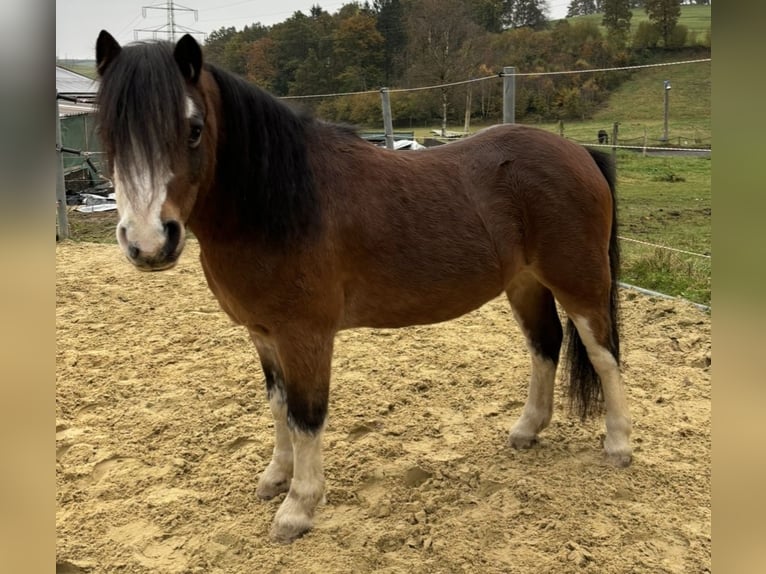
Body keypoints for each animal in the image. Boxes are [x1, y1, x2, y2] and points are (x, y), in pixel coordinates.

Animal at [96, 30, 636, 544]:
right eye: (108, 132)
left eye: (193, 129)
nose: (149, 242)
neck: (280, 203)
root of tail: (579, 152)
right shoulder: (263, 334)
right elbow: (278, 405)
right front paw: (276, 477)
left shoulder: (305, 336)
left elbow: (306, 414)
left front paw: (297, 508)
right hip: (525, 283)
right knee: (546, 345)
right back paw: (527, 430)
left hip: (579, 282)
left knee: (604, 354)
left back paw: (618, 444)